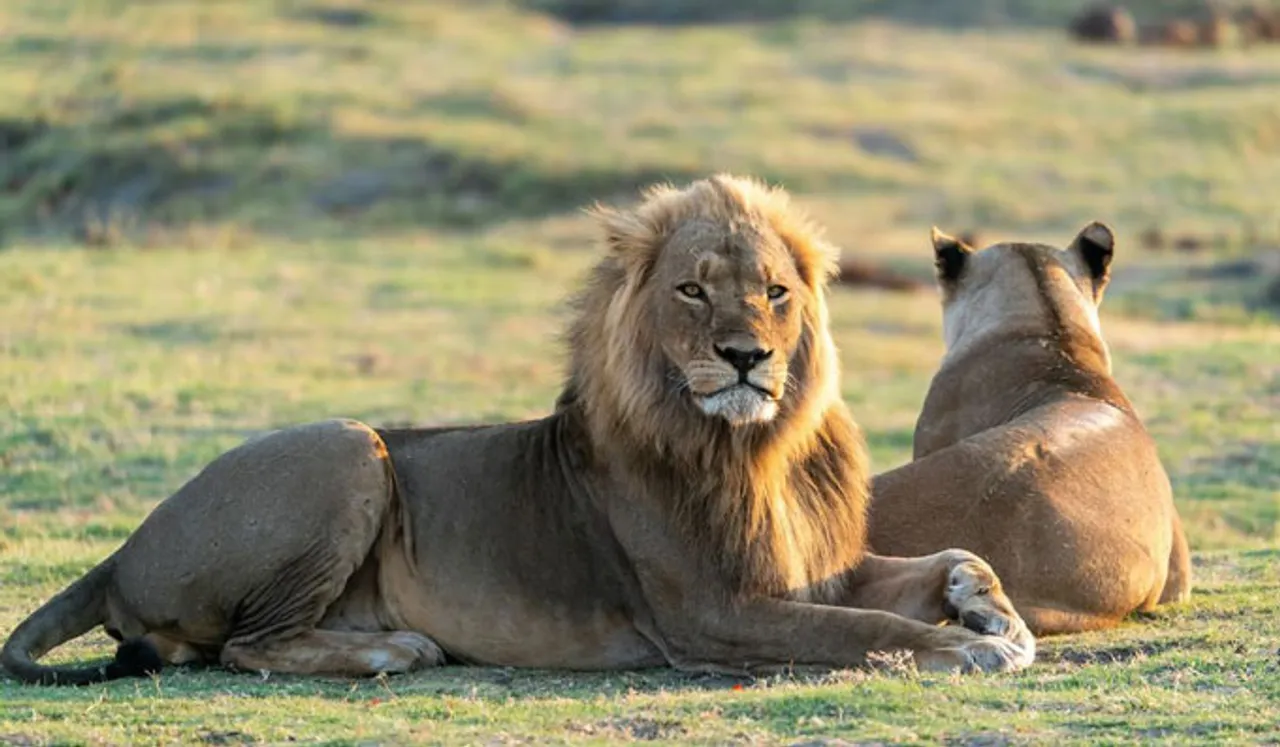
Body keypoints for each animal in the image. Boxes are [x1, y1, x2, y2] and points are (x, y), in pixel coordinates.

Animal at [5, 173, 1034, 680]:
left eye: (775, 292)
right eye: (693, 289)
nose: (746, 355)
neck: (756, 447)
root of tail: (124, 546)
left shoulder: (817, 567)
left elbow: (950, 557)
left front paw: (994, 612)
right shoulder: (713, 613)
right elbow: (858, 630)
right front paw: (965, 645)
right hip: (348, 447)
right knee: (246, 647)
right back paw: (393, 648)